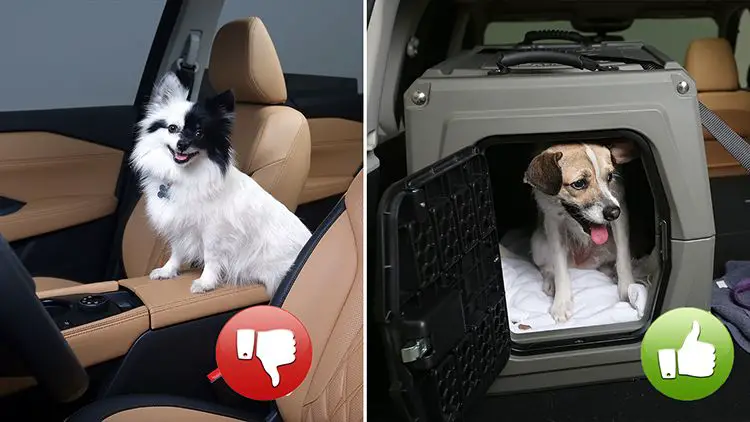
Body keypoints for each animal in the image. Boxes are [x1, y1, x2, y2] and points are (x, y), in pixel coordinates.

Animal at [131, 72, 312, 296]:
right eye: (172, 128)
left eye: (199, 133)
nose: (182, 144)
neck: (184, 175)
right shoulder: (180, 226)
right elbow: (177, 251)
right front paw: (168, 271)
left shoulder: (214, 232)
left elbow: (211, 257)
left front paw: (206, 283)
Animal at [524, 142, 640, 324]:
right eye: (579, 183)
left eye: (609, 177)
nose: (614, 213)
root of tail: (582, 264)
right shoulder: (553, 222)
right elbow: (559, 267)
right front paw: (562, 302)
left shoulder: (620, 212)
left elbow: (623, 257)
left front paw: (627, 287)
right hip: (538, 244)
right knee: (546, 268)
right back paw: (550, 282)